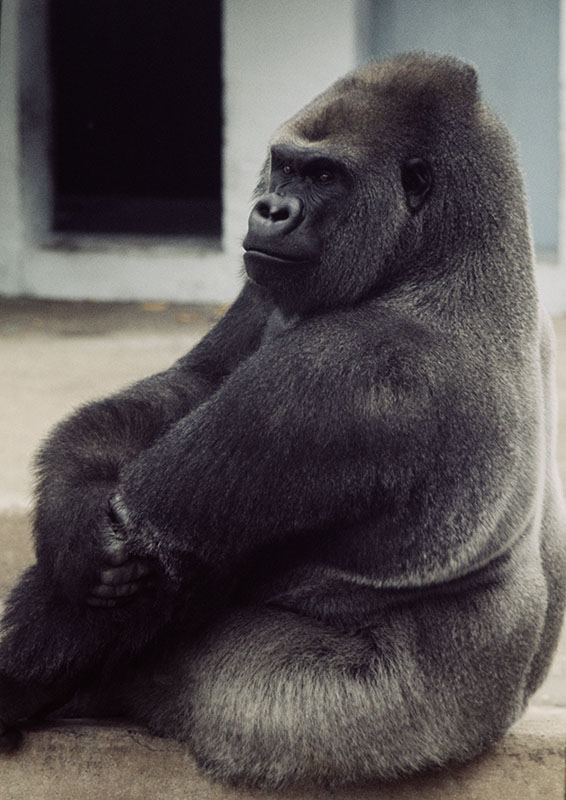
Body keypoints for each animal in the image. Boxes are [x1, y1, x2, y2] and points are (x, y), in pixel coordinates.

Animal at [0, 53, 564, 790]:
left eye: (324, 176)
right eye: (286, 166)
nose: (270, 208)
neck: (446, 252)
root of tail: (495, 719)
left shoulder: (346, 376)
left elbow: (156, 549)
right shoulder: (270, 280)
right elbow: (191, 383)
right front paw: (71, 513)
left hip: (334, 724)